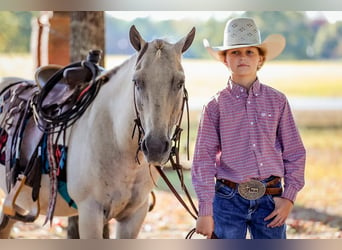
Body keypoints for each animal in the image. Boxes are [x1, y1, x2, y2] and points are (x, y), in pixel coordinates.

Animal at [0, 25, 196, 238]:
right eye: (137, 82)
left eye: (180, 82)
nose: (155, 147)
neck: (117, 141)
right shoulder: (90, 213)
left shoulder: (134, 215)